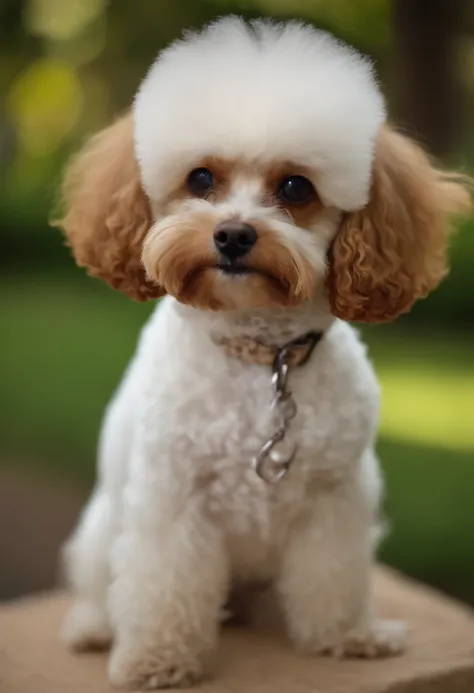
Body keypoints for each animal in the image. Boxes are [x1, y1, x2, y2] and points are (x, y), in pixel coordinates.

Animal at [55, 14, 470, 688]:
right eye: (201, 178)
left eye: (296, 187)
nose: (232, 234)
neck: (260, 355)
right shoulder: (172, 499)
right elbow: (162, 586)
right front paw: (156, 658)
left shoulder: (335, 496)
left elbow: (334, 576)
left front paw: (347, 636)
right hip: (101, 527)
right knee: (95, 582)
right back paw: (92, 627)